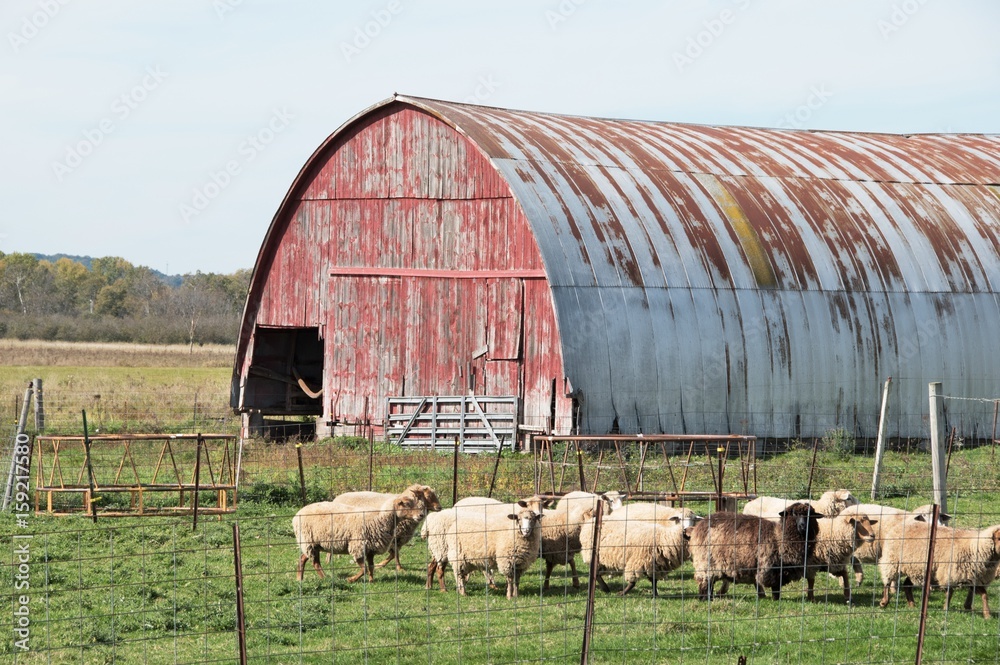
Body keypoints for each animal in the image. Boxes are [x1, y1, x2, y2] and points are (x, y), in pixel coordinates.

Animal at [292, 488, 426, 582]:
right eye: (406, 504)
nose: (421, 515)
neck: (379, 519)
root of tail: (297, 515)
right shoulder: (357, 547)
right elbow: (365, 569)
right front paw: (351, 579)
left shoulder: (371, 549)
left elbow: (371, 567)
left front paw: (372, 581)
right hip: (309, 541)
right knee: (314, 563)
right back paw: (325, 578)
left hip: (313, 544)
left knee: (303, 559)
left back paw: (300, 578)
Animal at [687, 502, 822, 601]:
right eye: (793, 514)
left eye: (811, 514)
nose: (803, 526)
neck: (778, 537)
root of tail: (701, 524)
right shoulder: (770, 569)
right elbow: (775, 587)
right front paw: (775, 600)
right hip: (705, 562)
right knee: (705, 581)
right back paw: (704, 598)